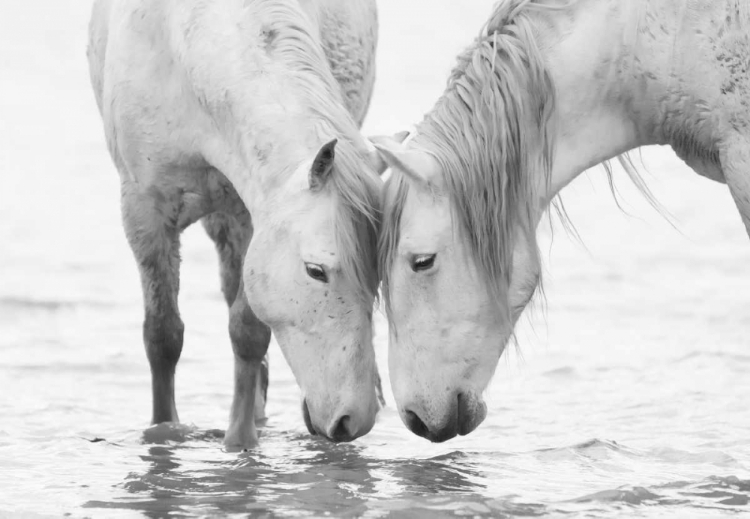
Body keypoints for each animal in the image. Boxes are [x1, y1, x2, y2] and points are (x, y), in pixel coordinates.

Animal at [87, 0, 390, 448]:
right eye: (315, 270)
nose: (354, 418)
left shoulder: (249, 213)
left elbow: (248, 332)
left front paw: (240, 440)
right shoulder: (145, 211)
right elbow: (162, 335)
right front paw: (164, 429)